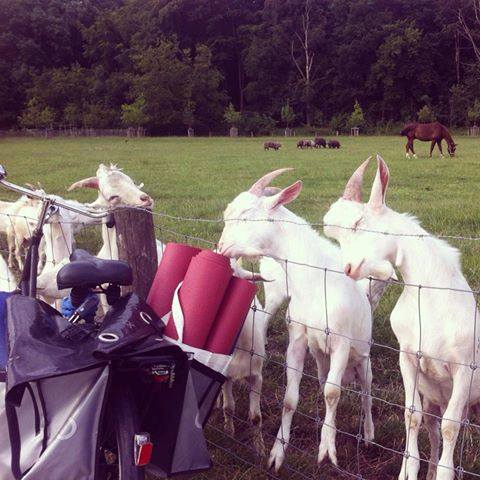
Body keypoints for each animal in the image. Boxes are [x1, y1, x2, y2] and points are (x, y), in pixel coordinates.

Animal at [218, 171, 376, 470]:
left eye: (245, 215)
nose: (221, 248)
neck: (315, 281)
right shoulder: (298, 338)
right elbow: (291, 399)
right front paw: (277, 454)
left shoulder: (341, 342)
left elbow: (333, 393)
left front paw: (327, 451)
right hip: (322, 358)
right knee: (327, 381)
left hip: (361, 358)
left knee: (365, 390)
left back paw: (369, 434)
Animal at [322, 156, 480, 478]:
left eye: (358, 223)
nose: (348, 268)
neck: (432, 300)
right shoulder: (407, 357)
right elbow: (412, 415)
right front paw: (409, 468)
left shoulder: (464, 369)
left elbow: (451, 427)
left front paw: (444, 474)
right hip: (434, 397)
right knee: (432, 427)